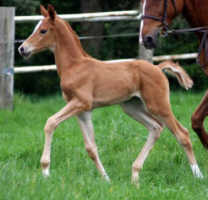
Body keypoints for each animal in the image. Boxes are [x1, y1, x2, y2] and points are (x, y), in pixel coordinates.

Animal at [18, 4, 202, 184]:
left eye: (43, 30)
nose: (22, 48)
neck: (75, 66)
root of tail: (158, 68)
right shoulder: (83, 111)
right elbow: (91, 148)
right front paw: (106, 179)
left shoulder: (81, 102)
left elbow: (50, 122)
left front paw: (45, 171)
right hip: (132, 107)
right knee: (156, 127)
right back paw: (135, 175)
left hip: (158, 105)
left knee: (182, 134)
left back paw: (197, 175)